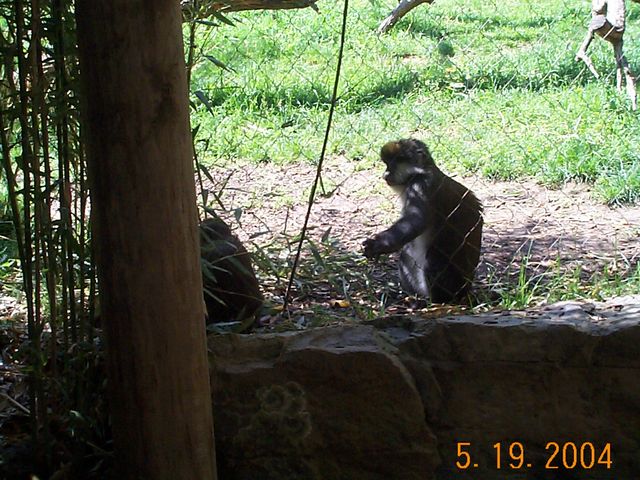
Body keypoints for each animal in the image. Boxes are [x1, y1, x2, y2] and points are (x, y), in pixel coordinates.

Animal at [363, 139, 483, 303]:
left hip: (454, 286)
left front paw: (378, 244)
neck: (421, 172)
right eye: (387, 163)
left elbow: (416, 220)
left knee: (434, 259)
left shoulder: (421, 185)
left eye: (394, 162)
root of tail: (466, 292)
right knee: (406, 254)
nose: (385, 174)